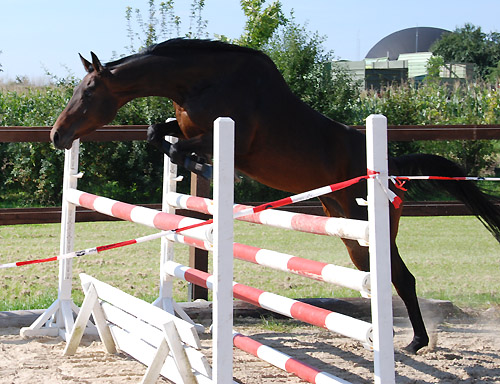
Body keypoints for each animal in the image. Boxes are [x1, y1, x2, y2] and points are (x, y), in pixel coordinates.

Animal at [50, 37, 500, 352]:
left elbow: (179, 147)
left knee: (402, 277)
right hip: (349, 229)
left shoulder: (226, 138)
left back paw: (415, 342)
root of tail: (389, 167)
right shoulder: (184, 126)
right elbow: (156, 133)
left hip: (372, 225)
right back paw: (390, 335)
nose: (57, 136)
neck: (200, 81)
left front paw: (203, 168)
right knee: (376, 274)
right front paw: (192, 165)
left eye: (88, 93)